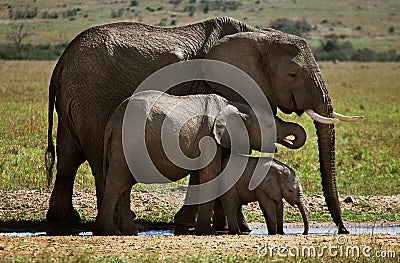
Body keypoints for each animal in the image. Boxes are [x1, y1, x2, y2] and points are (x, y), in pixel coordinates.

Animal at [94, 91, 306, 235]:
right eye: (269, 126)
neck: (235, 105)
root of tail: (111, 123)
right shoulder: (209, 138)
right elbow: (210, 176)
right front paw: (206, 232)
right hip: (127, 141)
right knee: (118, 182)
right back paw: (108, 232)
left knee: (124, 184)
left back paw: (130, 232)